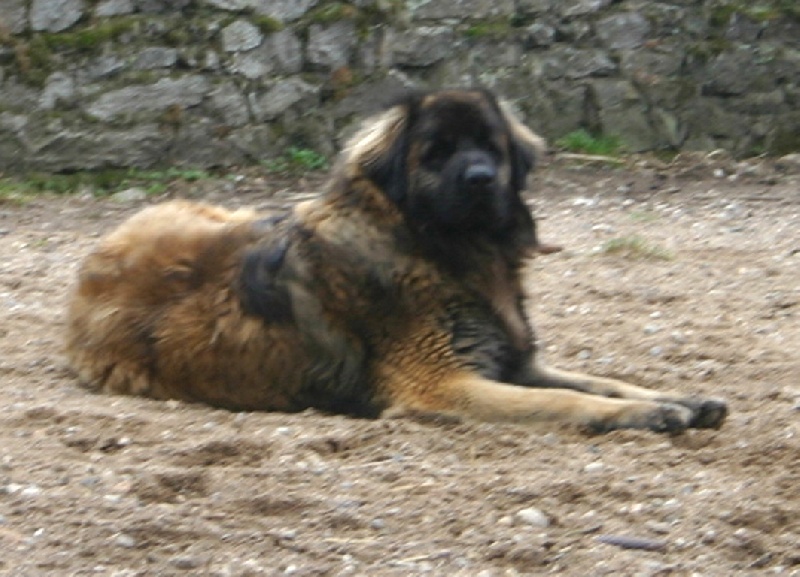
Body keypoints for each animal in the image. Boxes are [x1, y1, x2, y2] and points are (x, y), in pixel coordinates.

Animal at [65, 88, 727, 433]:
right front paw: (654, 413)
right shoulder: (444, 384)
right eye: (437, 152)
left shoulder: (512, 360)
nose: (482, 180)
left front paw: (676, 397)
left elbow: (600, 380)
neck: (442, 250)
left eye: (490, 148)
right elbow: (569, 401)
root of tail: (92, 260)